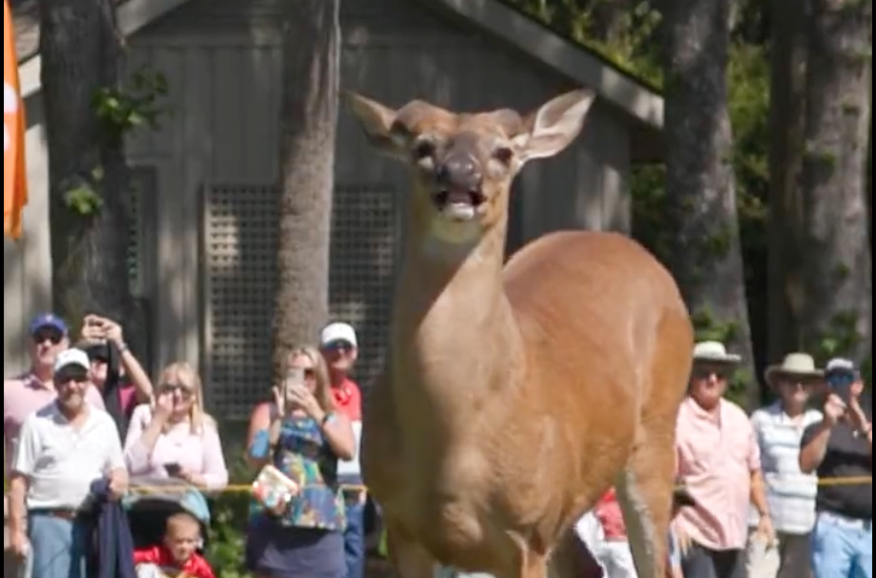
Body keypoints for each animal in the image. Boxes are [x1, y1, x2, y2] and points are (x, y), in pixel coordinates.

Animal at [346, 89, 694, 578]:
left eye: (503, 152)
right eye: (422, 146)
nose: (460, 174)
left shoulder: (529, 528)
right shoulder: (401, 524)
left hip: (656, 430)